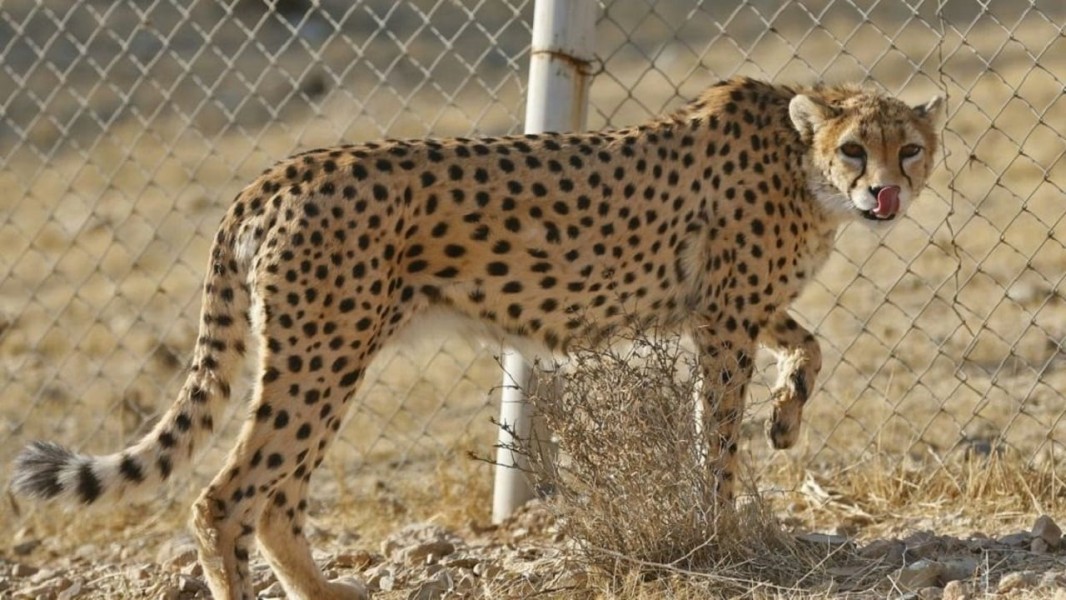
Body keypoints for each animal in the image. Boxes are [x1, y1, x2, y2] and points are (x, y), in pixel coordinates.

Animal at [8, 77, 942, 596]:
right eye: (854, 149)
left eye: (912, 148)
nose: (885, 195)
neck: (800, 165)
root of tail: (277, 172)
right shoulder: (721, 317)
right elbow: (714, 436)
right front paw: (723, 529)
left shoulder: (729, 307)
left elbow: (809, 345)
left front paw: (785, 418)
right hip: (322, 354)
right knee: (227, 496)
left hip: (327, 355)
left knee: (273, 496)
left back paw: (328, 591)